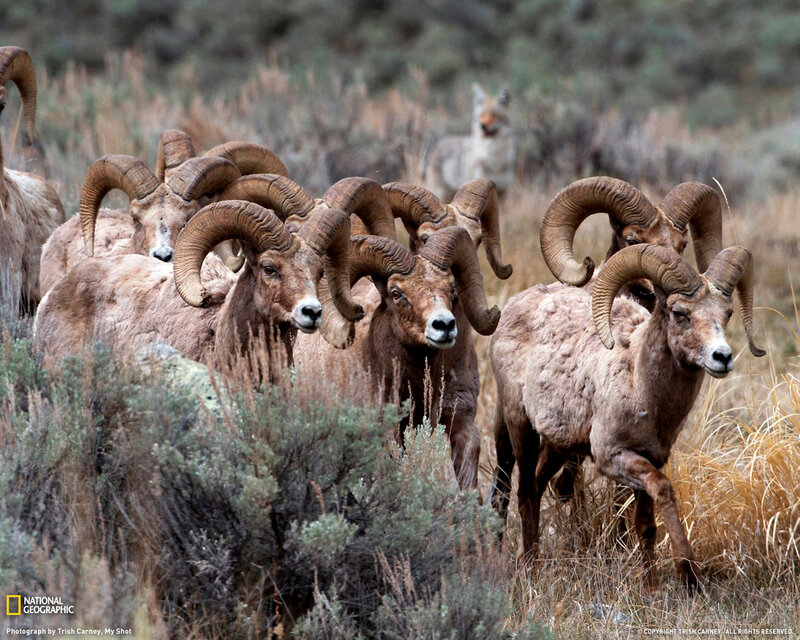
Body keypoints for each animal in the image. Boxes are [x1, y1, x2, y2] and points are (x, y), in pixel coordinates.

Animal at [488, 243, 764, 590]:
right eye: (680, 313)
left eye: (726, 314)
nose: (722, 357)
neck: (639, 383)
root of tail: (513, 306)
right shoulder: (614, 457)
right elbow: (663, 489)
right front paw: (688, 575)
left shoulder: (649, 458)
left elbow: (646, 525)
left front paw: (650, 587)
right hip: (520, 427)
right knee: (525, 494)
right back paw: (530, 568)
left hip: (559, 445)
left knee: (537, 487)